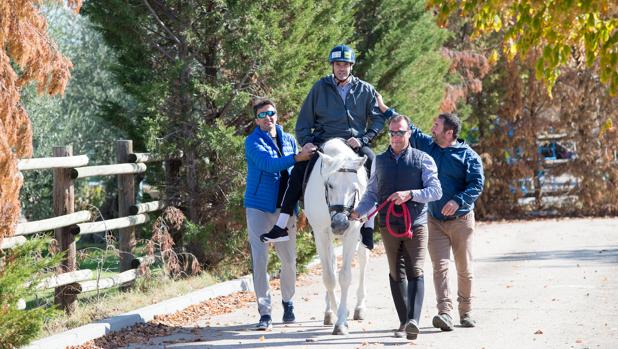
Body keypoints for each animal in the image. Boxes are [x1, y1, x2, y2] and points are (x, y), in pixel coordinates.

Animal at [302, 137, 366, 334]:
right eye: (330, 185)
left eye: (355, 188)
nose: (340, 223)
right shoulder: (320, 234)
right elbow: (329, 277)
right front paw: (336, 314)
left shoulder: (352, 232)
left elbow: (345, 277)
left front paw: (341, 322)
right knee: (330, 262)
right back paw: (329, 311)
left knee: (363, 259)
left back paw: (359, 308)